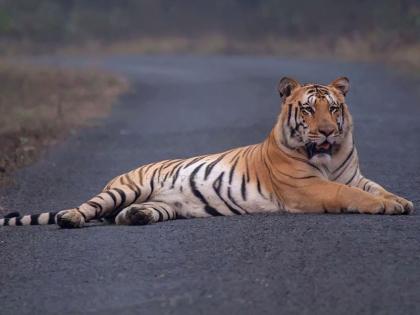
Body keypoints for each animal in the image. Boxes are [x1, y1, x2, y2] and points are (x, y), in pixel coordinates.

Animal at [0, 77, 414, 230]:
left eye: (334, 108)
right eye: (309, 110)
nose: (328, 131)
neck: (327, 157)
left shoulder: (354, 175)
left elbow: (375, 188)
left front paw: (400, 201)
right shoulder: (309, 187)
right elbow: (350, 194)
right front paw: (385, 206)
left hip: (166, 205)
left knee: (120, 216)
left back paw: (135, 217)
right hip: (123, 189)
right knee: (88, 208)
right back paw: (70, 218)